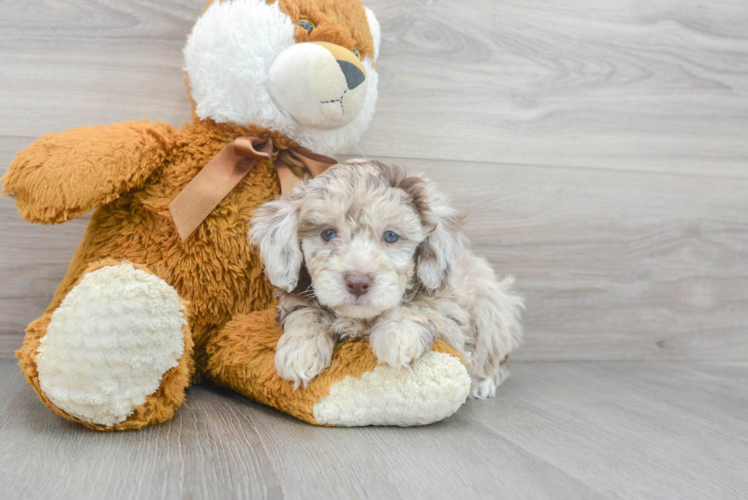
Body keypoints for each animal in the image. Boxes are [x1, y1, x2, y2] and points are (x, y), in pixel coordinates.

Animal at [248, 160, 524, 398]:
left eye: (391, 236)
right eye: (328, 234)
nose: (358, 282)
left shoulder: (452, 309)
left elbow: (421, 305)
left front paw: (398, 334)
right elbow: (306, 313)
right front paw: (299, 349)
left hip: (492, 305)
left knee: (495, 357)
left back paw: (483, 384)